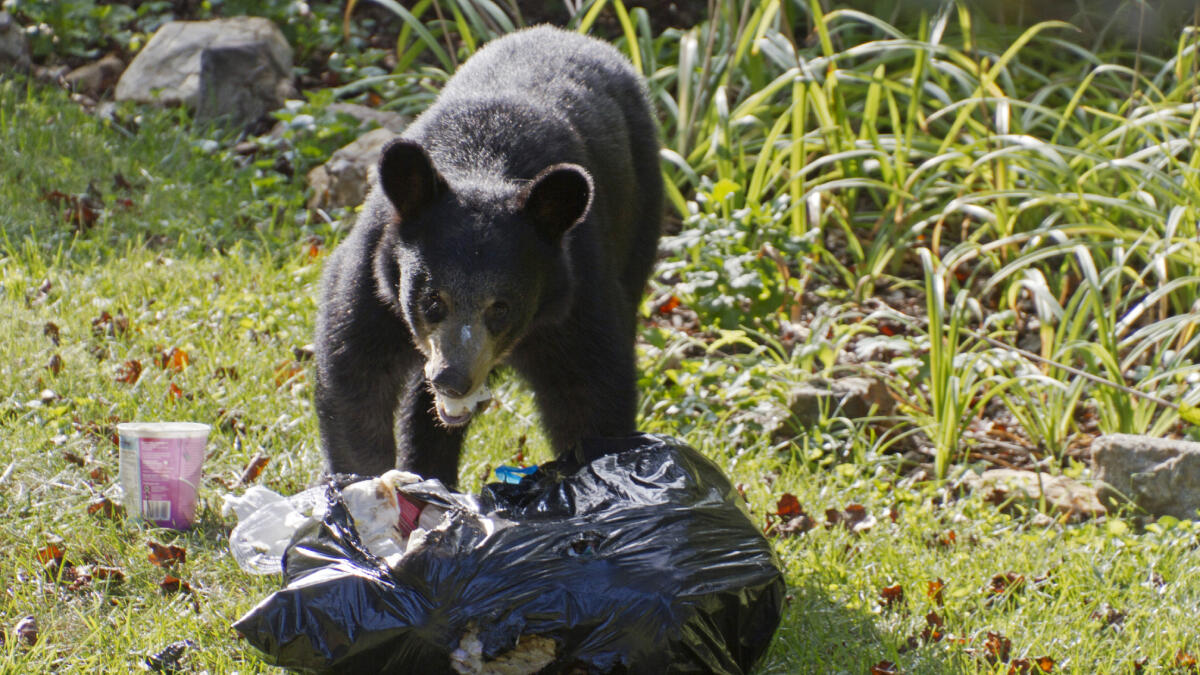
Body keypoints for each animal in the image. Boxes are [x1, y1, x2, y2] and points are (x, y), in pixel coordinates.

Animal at [314, 26, 663, 486]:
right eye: (431, 300)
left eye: (501, 308)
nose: (453, 380)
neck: (482, 164)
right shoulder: (376, 276)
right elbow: (356, 377)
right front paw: (367, 484)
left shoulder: (575, 293)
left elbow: (590, 394)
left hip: (640, 219)